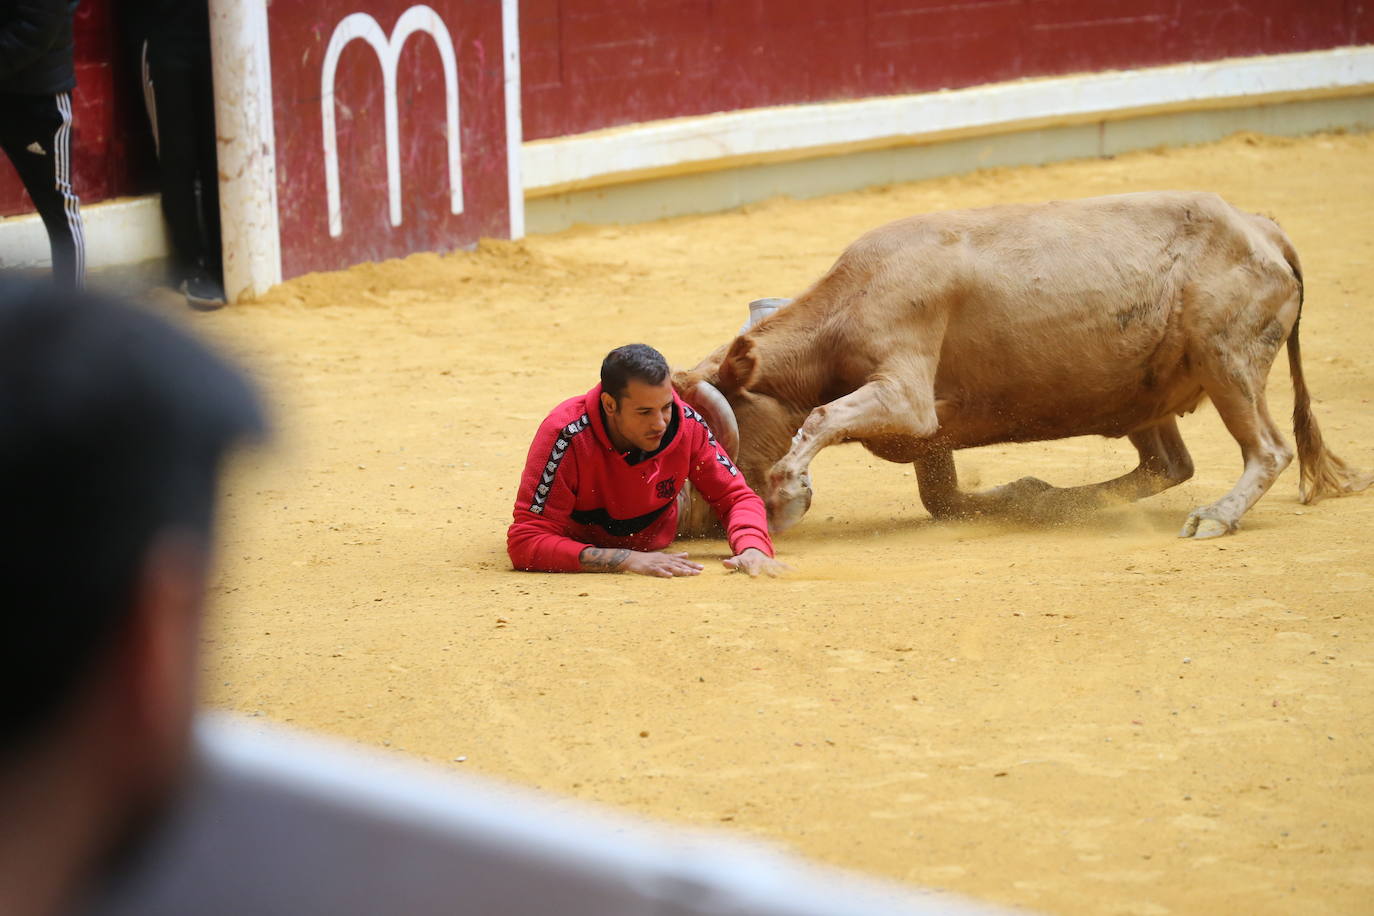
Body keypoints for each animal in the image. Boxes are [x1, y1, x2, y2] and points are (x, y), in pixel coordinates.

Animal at [676, 190, 1374, 541]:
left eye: (719, 431)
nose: (685, 522)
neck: (842, 310)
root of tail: (1261, 227)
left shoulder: (904, 395)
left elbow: (822, 417)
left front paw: (790, 487)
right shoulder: (929, 429)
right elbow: (941, 498)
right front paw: (1007, 497)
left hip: (1226, 358)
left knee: (1267, 449)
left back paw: (1215, 518)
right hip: (1145, 393)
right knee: (1168, 464)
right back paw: (1052, 500)